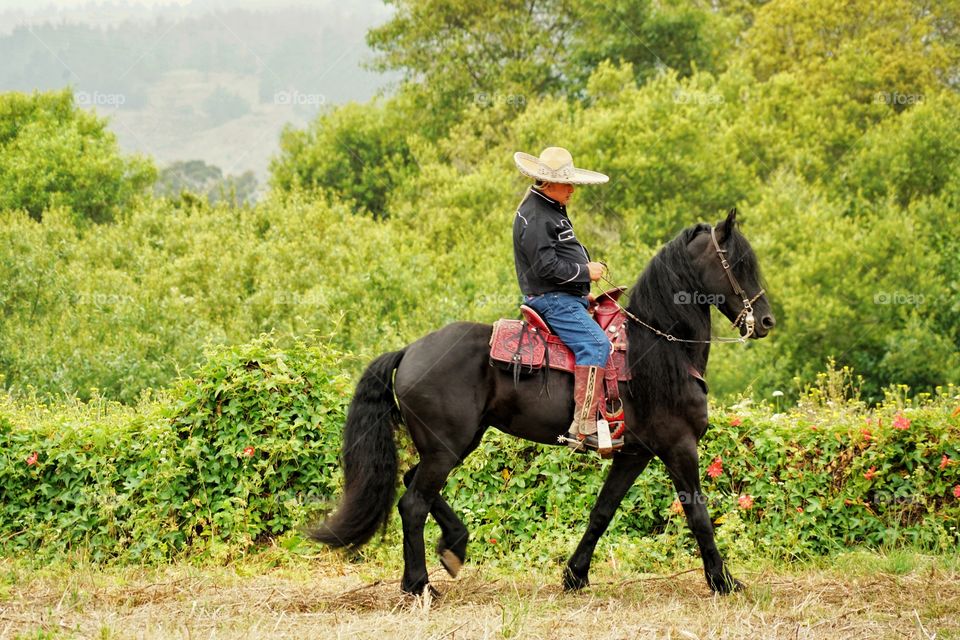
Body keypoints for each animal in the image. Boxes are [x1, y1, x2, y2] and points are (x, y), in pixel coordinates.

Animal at [312, 210, 776, 596]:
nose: (767, 321)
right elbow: (698, 514)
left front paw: (575, 575)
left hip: (455, 443)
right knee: (413, 504)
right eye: (737, 264)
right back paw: (419, 584)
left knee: (414, 486)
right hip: (446, 447)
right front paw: (724, 582)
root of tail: (409, 351)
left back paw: (454, 547)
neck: (660, 348)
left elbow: (602, 511)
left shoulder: (634, 453)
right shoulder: (678, 446)